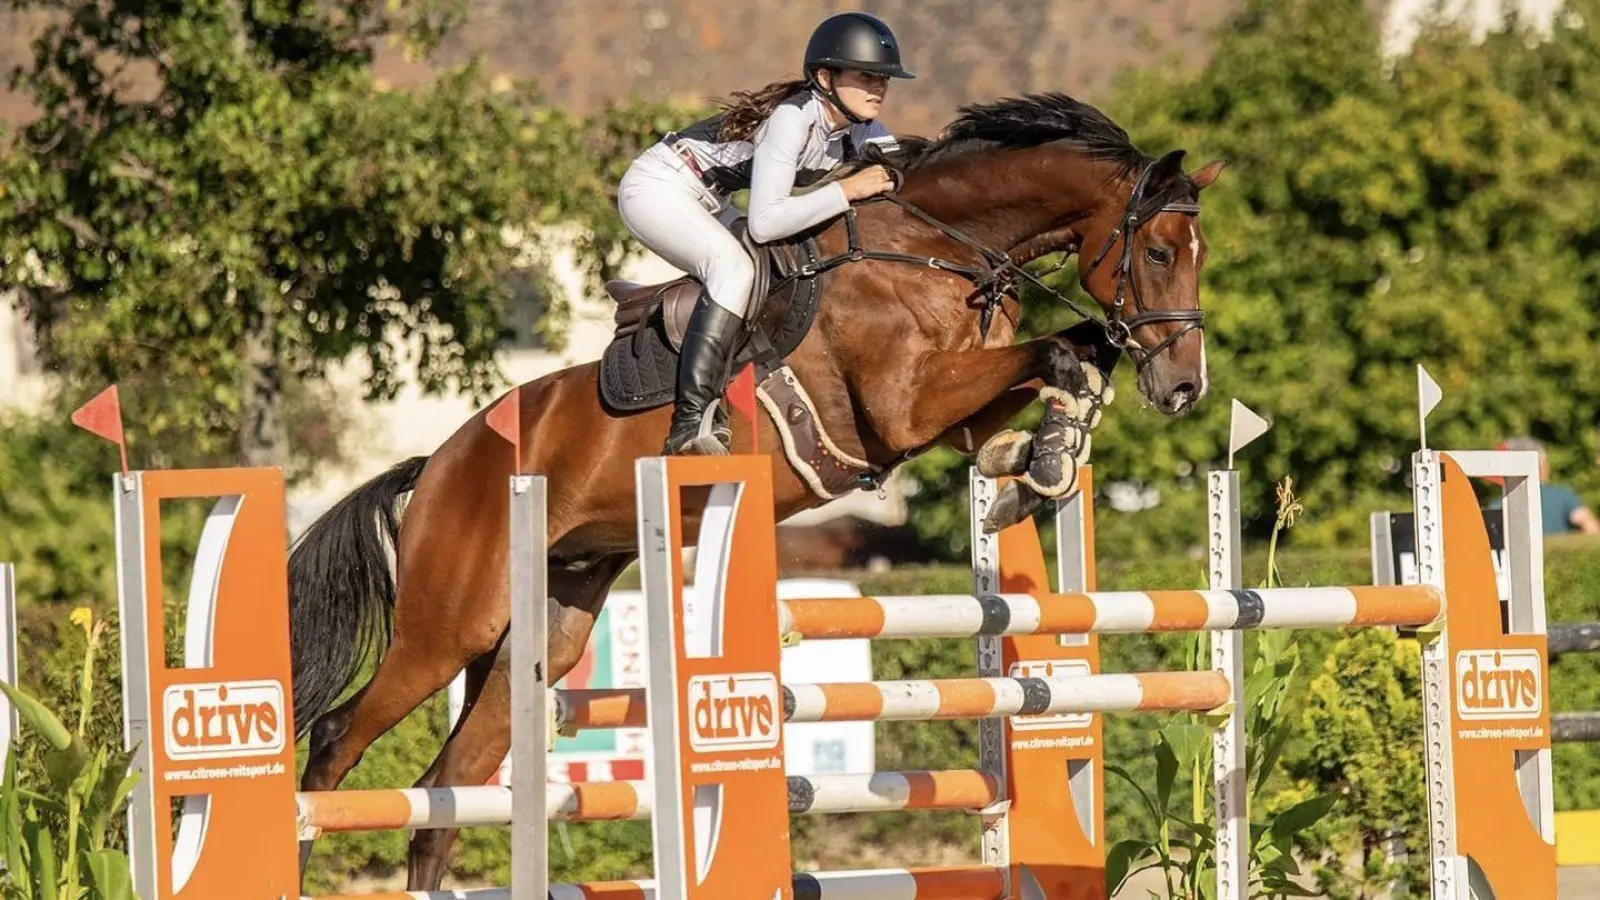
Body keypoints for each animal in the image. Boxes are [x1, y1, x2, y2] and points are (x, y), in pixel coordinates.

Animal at [284, 87, 1222, 883]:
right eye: (1159, 251)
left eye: (1198, 256)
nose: (1185, 387)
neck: (934, 249)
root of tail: (438, 462)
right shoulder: (906, 407)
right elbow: (1059, 350)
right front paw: (1051, 453)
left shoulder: (950, 411)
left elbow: (1058, 368)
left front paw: (1038, 462)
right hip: (450, 627)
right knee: (335, 740)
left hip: (541, 635)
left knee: (441, 800)